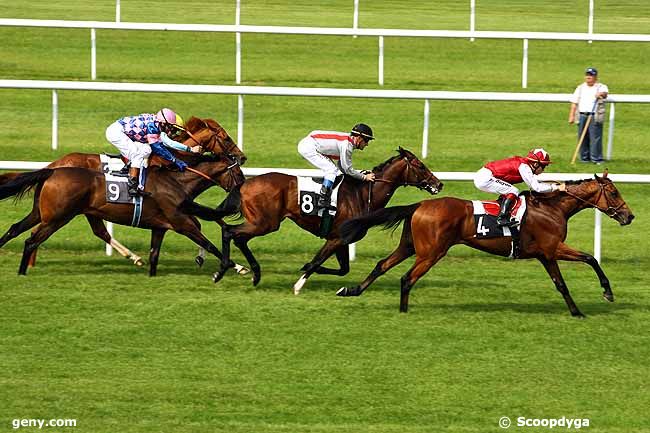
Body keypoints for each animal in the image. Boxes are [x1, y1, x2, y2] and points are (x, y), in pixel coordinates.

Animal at [0, 116, 246, 276]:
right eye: (225, 138)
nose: (242, 157)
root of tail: (54, 166)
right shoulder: (179, 215)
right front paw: (235, 265)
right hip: (61, 214)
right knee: (42, 234)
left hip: (64, 211)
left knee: (24, 229)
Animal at [206, 147, 440, 292]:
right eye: (420, 165)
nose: (438, 183)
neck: (363, 194)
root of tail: (244, 184)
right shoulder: (337, 238)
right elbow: (319, 259)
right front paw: (298, 285)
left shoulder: (343, 240)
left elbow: (342, 269)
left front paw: (306, 267)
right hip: (265, 223)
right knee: (230, 232)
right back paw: (223, 271)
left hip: (261, 223)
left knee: (239, 238)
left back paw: (254, 274)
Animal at [340, 172, 632, 318]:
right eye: (614, 192)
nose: (630, 216)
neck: (553, 208)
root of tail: (420, 203)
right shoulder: (553, 247)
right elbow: (590, 258)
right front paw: (607, 292)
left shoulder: (545, 255)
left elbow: (561, 285)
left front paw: (576, 312)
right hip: (431, 252)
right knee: (406, 278)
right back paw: (403, 311)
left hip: (410, 246)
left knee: (382, 265)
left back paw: (352, 290)